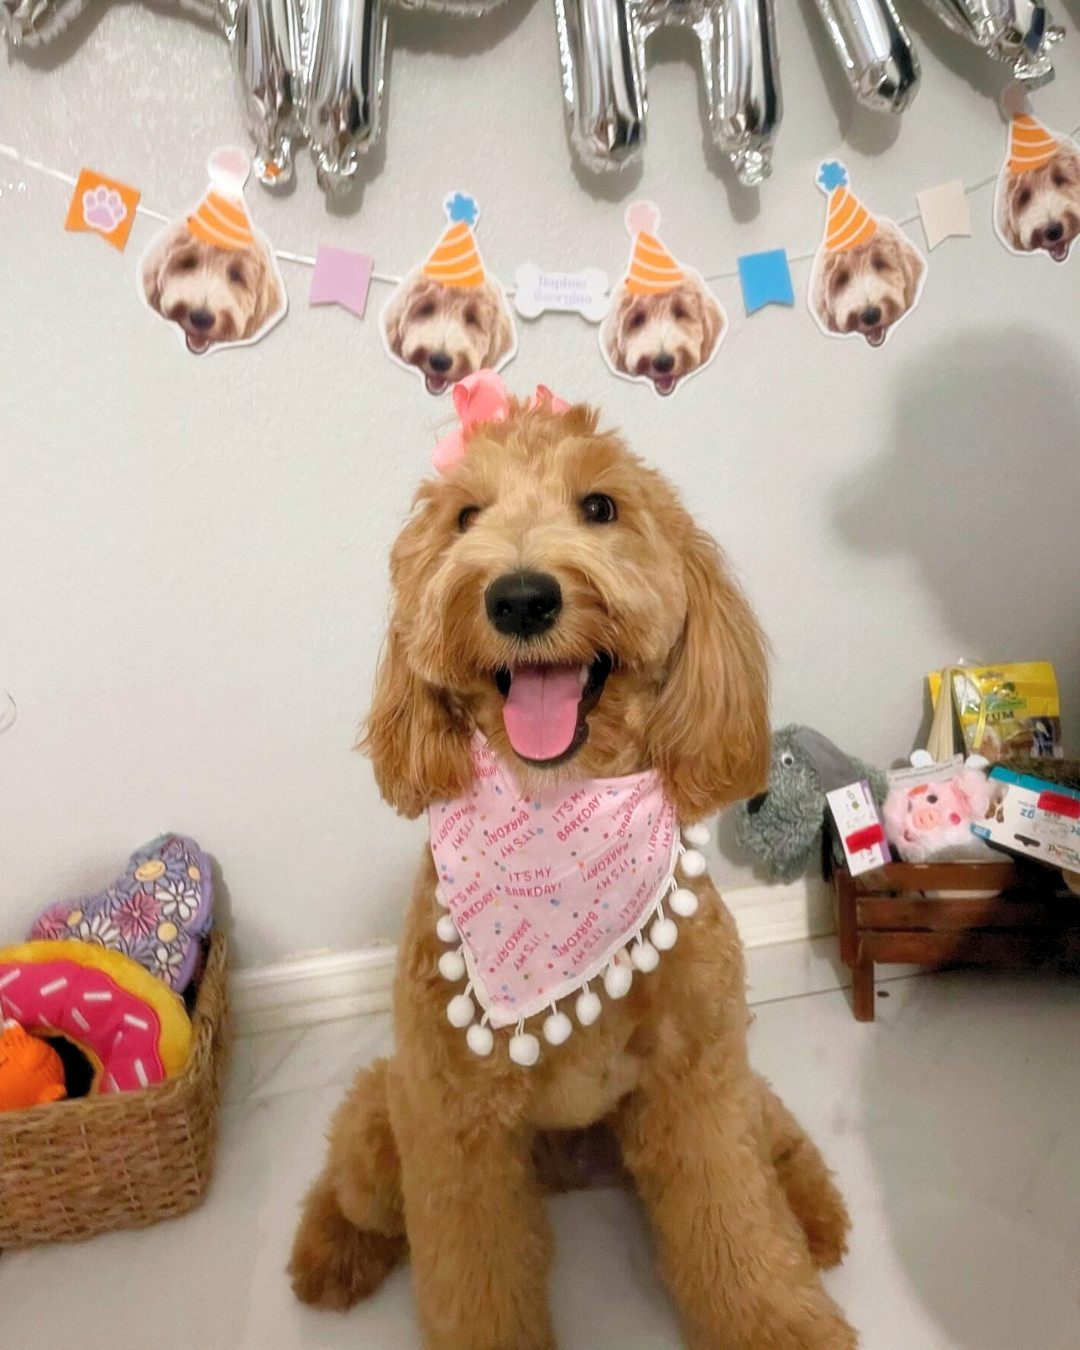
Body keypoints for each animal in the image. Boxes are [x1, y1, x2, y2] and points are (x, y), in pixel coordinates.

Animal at [291, 383, 858, 1350]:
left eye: (600, 507)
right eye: (465, 517)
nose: (520, 597)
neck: (558, 831)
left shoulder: (699, 1086)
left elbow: (742, 1229)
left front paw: (789, 1319)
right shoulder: (453, 1125)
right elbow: (476, 1281)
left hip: (720, 1080)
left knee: (771, 1130)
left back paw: (815, 1212)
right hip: (388, 1116)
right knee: (350, 1179)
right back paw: (328, 1255)